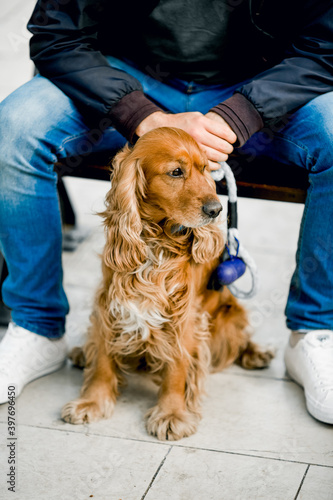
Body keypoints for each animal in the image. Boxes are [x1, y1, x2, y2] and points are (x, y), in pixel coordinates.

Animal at [60, 127, 272, 440]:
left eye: (205, 169)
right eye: (175, 172)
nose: (216, 209)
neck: (156, 240)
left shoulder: (184, 315)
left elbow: (177, 366)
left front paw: (172, 414)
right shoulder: (109, 303)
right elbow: (103, 357)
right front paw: (92, 402)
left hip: (228, 315)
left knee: (240, 340)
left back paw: (257, 353)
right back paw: (80, 353)